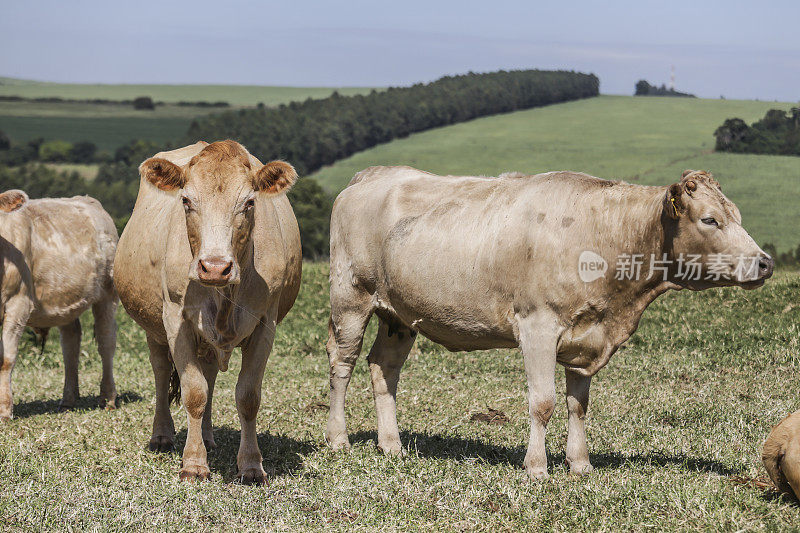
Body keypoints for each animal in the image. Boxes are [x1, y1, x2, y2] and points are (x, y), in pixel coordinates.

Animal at [0, 189, 118, 418]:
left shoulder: (19, 303)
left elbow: (6, 358)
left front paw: (4, 410)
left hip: (108, 293)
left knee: (106, 342)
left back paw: (108, 398)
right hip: (65, 301)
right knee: (71, 344)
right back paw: (68, 400)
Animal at [117, 140, 304, 482]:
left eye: (249, 202)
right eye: (186, 200)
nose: (215, 267)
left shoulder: (265, 324)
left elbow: (247, 396)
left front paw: (251, 465)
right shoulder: (175, 321)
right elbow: (194, 393)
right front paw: (193, 464)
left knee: (211, 375)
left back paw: (206, 435)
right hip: (153, 328)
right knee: (161, 372)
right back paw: (162, 435)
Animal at [324, 166, 776, 478]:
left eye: (735, 215)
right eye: (709, 220)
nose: (765, 262)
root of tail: (373, 174)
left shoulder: (588, 338)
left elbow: (578, 405)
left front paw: (580, 464)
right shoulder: (537, 327)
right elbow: (543, 403)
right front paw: (537, 467)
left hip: (398, 314)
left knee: (383, 368)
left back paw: (391, 445)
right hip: (350, 298)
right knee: (342, 365)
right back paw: (338, 439)